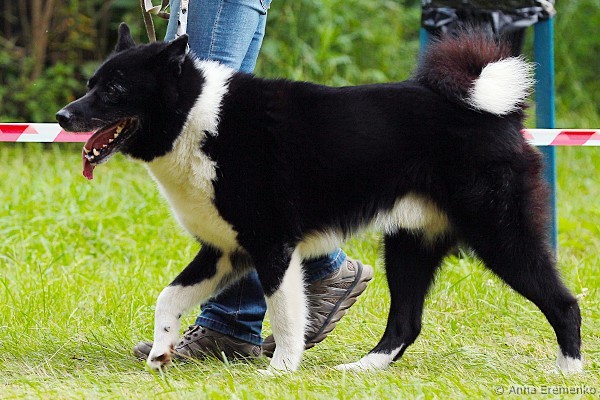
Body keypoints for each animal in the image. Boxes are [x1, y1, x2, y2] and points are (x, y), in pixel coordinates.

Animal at [57, 23, 582, 373]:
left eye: (115, 88)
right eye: (90, 84)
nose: (63, 116)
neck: (198, 119)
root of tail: (499, 113)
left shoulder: (272, 248)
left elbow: (287, 315)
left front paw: (280, 372)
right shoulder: (226, 252)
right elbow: (169, 296)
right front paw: (161, 350)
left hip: (501, 237)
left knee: (564, 303)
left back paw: (568, 373)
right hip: (408, 244)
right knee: (406, 323)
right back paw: (362, 370)